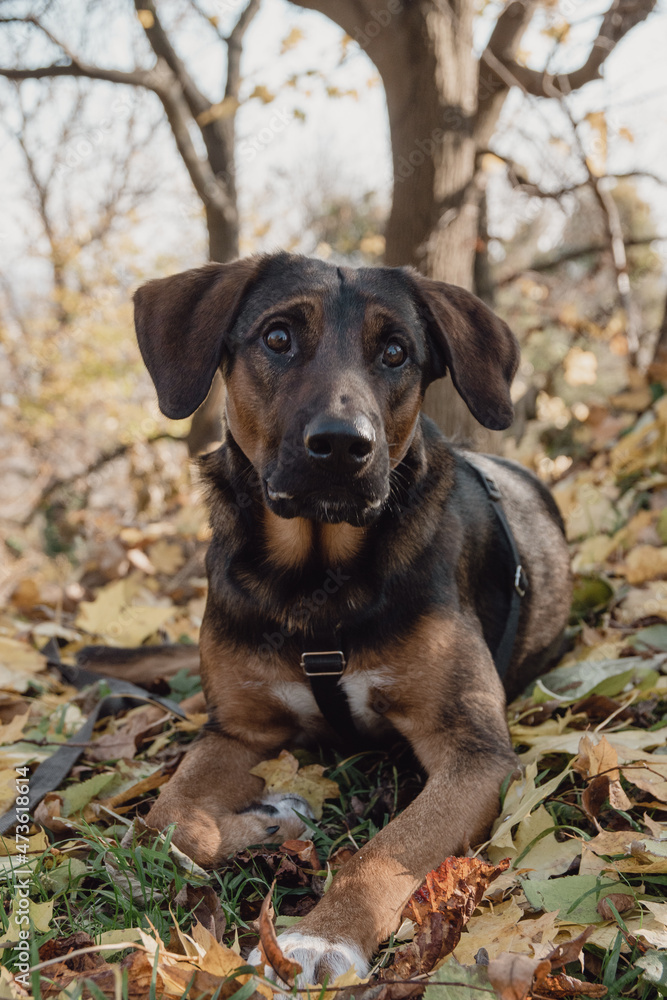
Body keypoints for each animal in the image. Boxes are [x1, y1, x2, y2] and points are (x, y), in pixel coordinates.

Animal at [133, 254, 572, 988]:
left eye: (395, 352)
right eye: (278, 337)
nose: (342, 447)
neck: (317, 580)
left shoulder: (474, 752)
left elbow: (387, 850)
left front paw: (321, 936)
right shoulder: (239, 729)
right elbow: (167, 820)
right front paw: (273, 819)